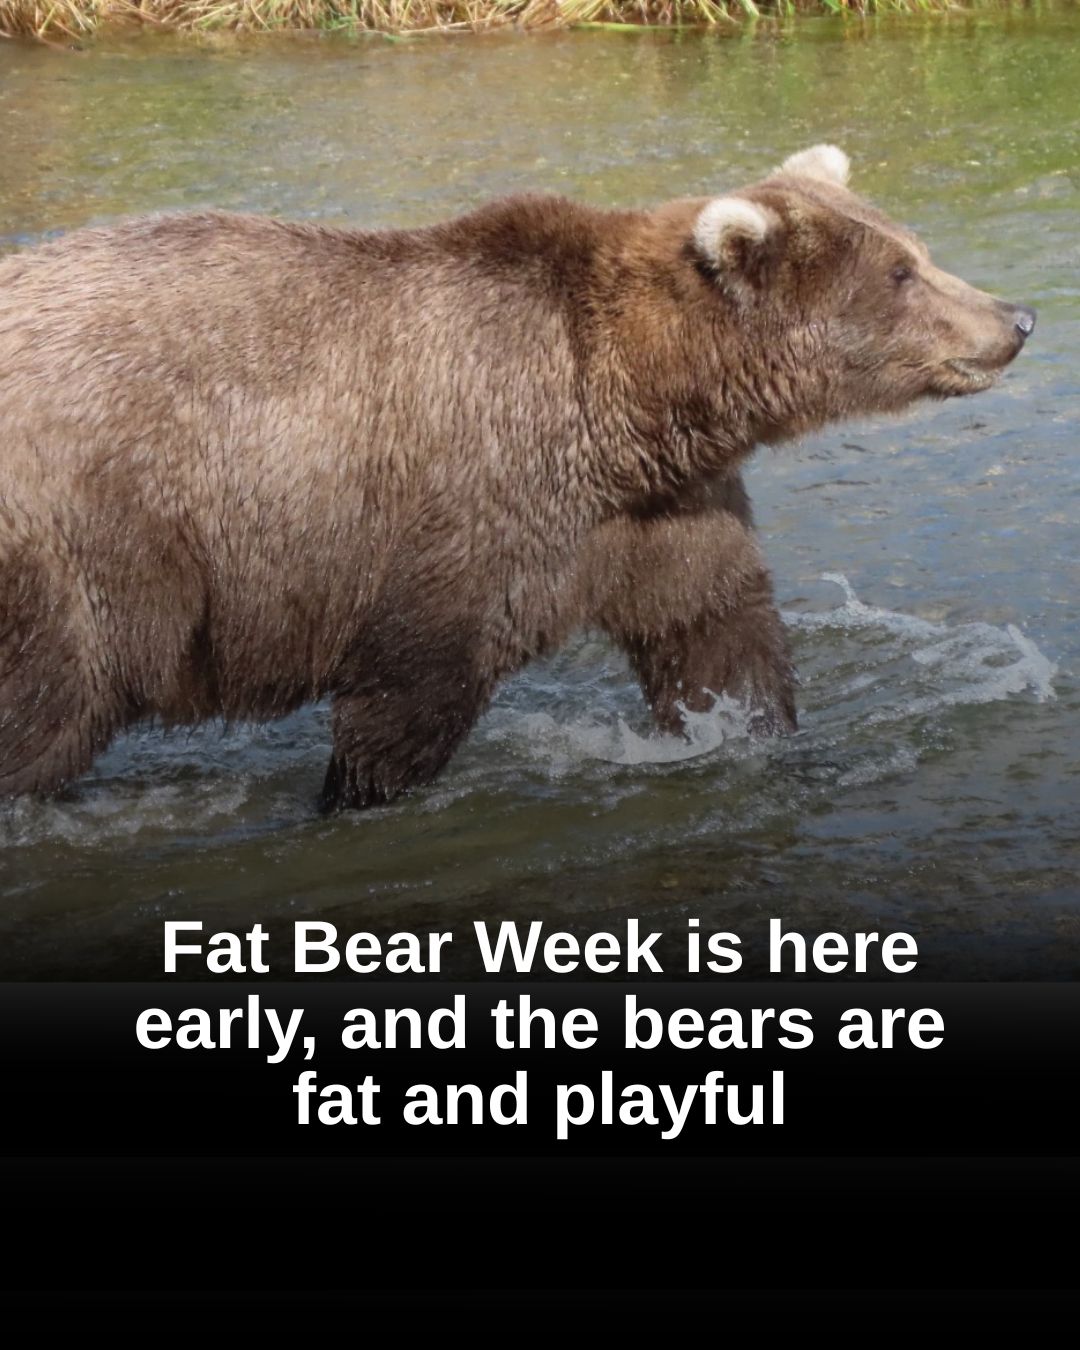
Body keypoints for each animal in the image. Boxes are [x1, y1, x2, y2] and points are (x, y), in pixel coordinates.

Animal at [0, 144, 1035, 811]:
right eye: (902, 274)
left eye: (916, 248)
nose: (1015, 318)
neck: (632, 406)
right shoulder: (476, 501)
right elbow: (411, 692)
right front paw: (353, 794)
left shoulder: (663, 511)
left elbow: (717, 633)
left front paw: (761, 737)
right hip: (76, 551)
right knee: (44, 711)